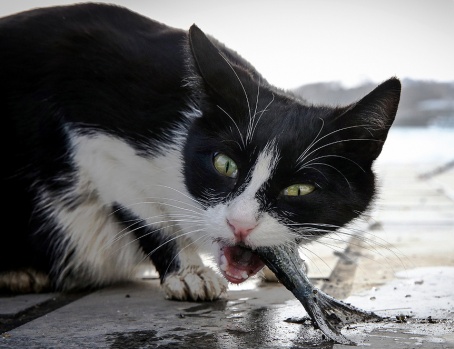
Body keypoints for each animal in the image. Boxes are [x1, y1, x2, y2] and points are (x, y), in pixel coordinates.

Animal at [0, 2, 400, 300]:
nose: (240, 225)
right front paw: (189, 271)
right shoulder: (91, 127)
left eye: (299, 189)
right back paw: (19, 273)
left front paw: (289, 263)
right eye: (224, 164)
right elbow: (144, 210)